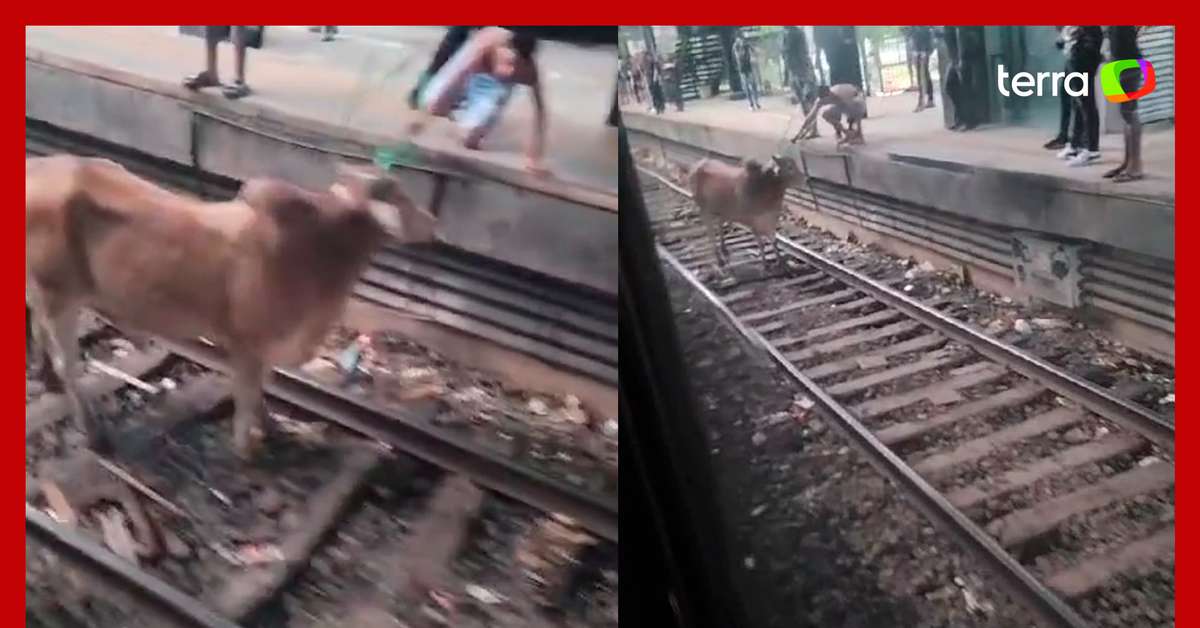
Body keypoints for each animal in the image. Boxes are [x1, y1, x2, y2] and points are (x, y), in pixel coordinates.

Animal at [25, 156, 439, 461]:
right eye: (400, 198)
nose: (434, 221)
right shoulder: (247, 344)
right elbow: (247, 392)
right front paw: (247, 448)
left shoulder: (267, 347)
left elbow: (261, 390)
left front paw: (272, 428)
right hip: (58, 294)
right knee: (68, 363)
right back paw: (94, 433)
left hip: (45, 293)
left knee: (41, 334)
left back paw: (46, 378)